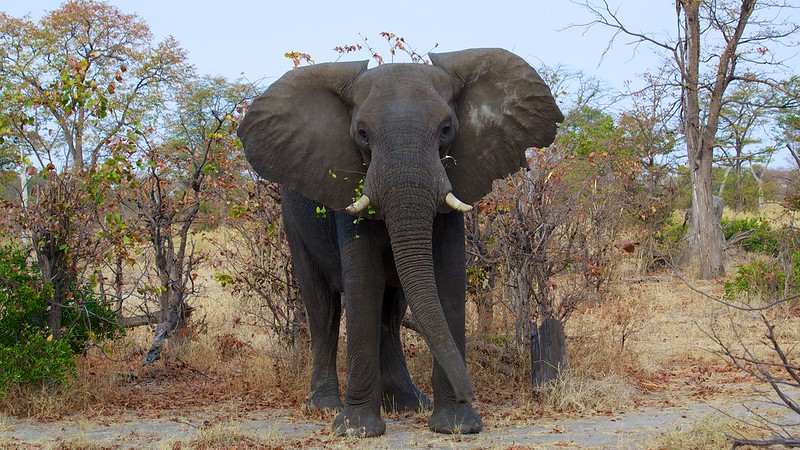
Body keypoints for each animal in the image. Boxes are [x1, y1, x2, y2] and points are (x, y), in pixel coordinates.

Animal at [238, 47, 564, 438]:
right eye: (362, 133)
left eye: (446, 129)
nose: (470, 393)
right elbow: (363, 283)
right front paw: (356, 430)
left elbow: (446, 278)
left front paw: (457, 425)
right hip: (293, 223)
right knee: (323, 307)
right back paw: (325, 406)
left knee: (390, 312)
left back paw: (408, 404)